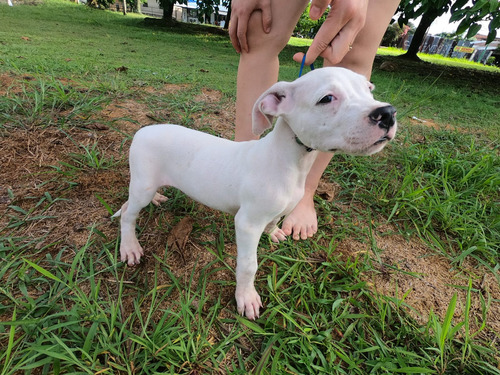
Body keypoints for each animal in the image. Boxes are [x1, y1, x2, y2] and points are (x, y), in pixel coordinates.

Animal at [112, 67, 394, 320]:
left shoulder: (279, 208)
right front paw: (246, 298)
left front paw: (275, 232)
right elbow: (249, 265)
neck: (290, 161)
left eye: (369, 90)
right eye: (326, 98)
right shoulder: (247, 224)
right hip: (142, 185)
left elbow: (275, 220)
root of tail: (142, 130)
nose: (388, 113)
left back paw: (158, 199)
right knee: (127, 212)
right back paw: (130, 247)